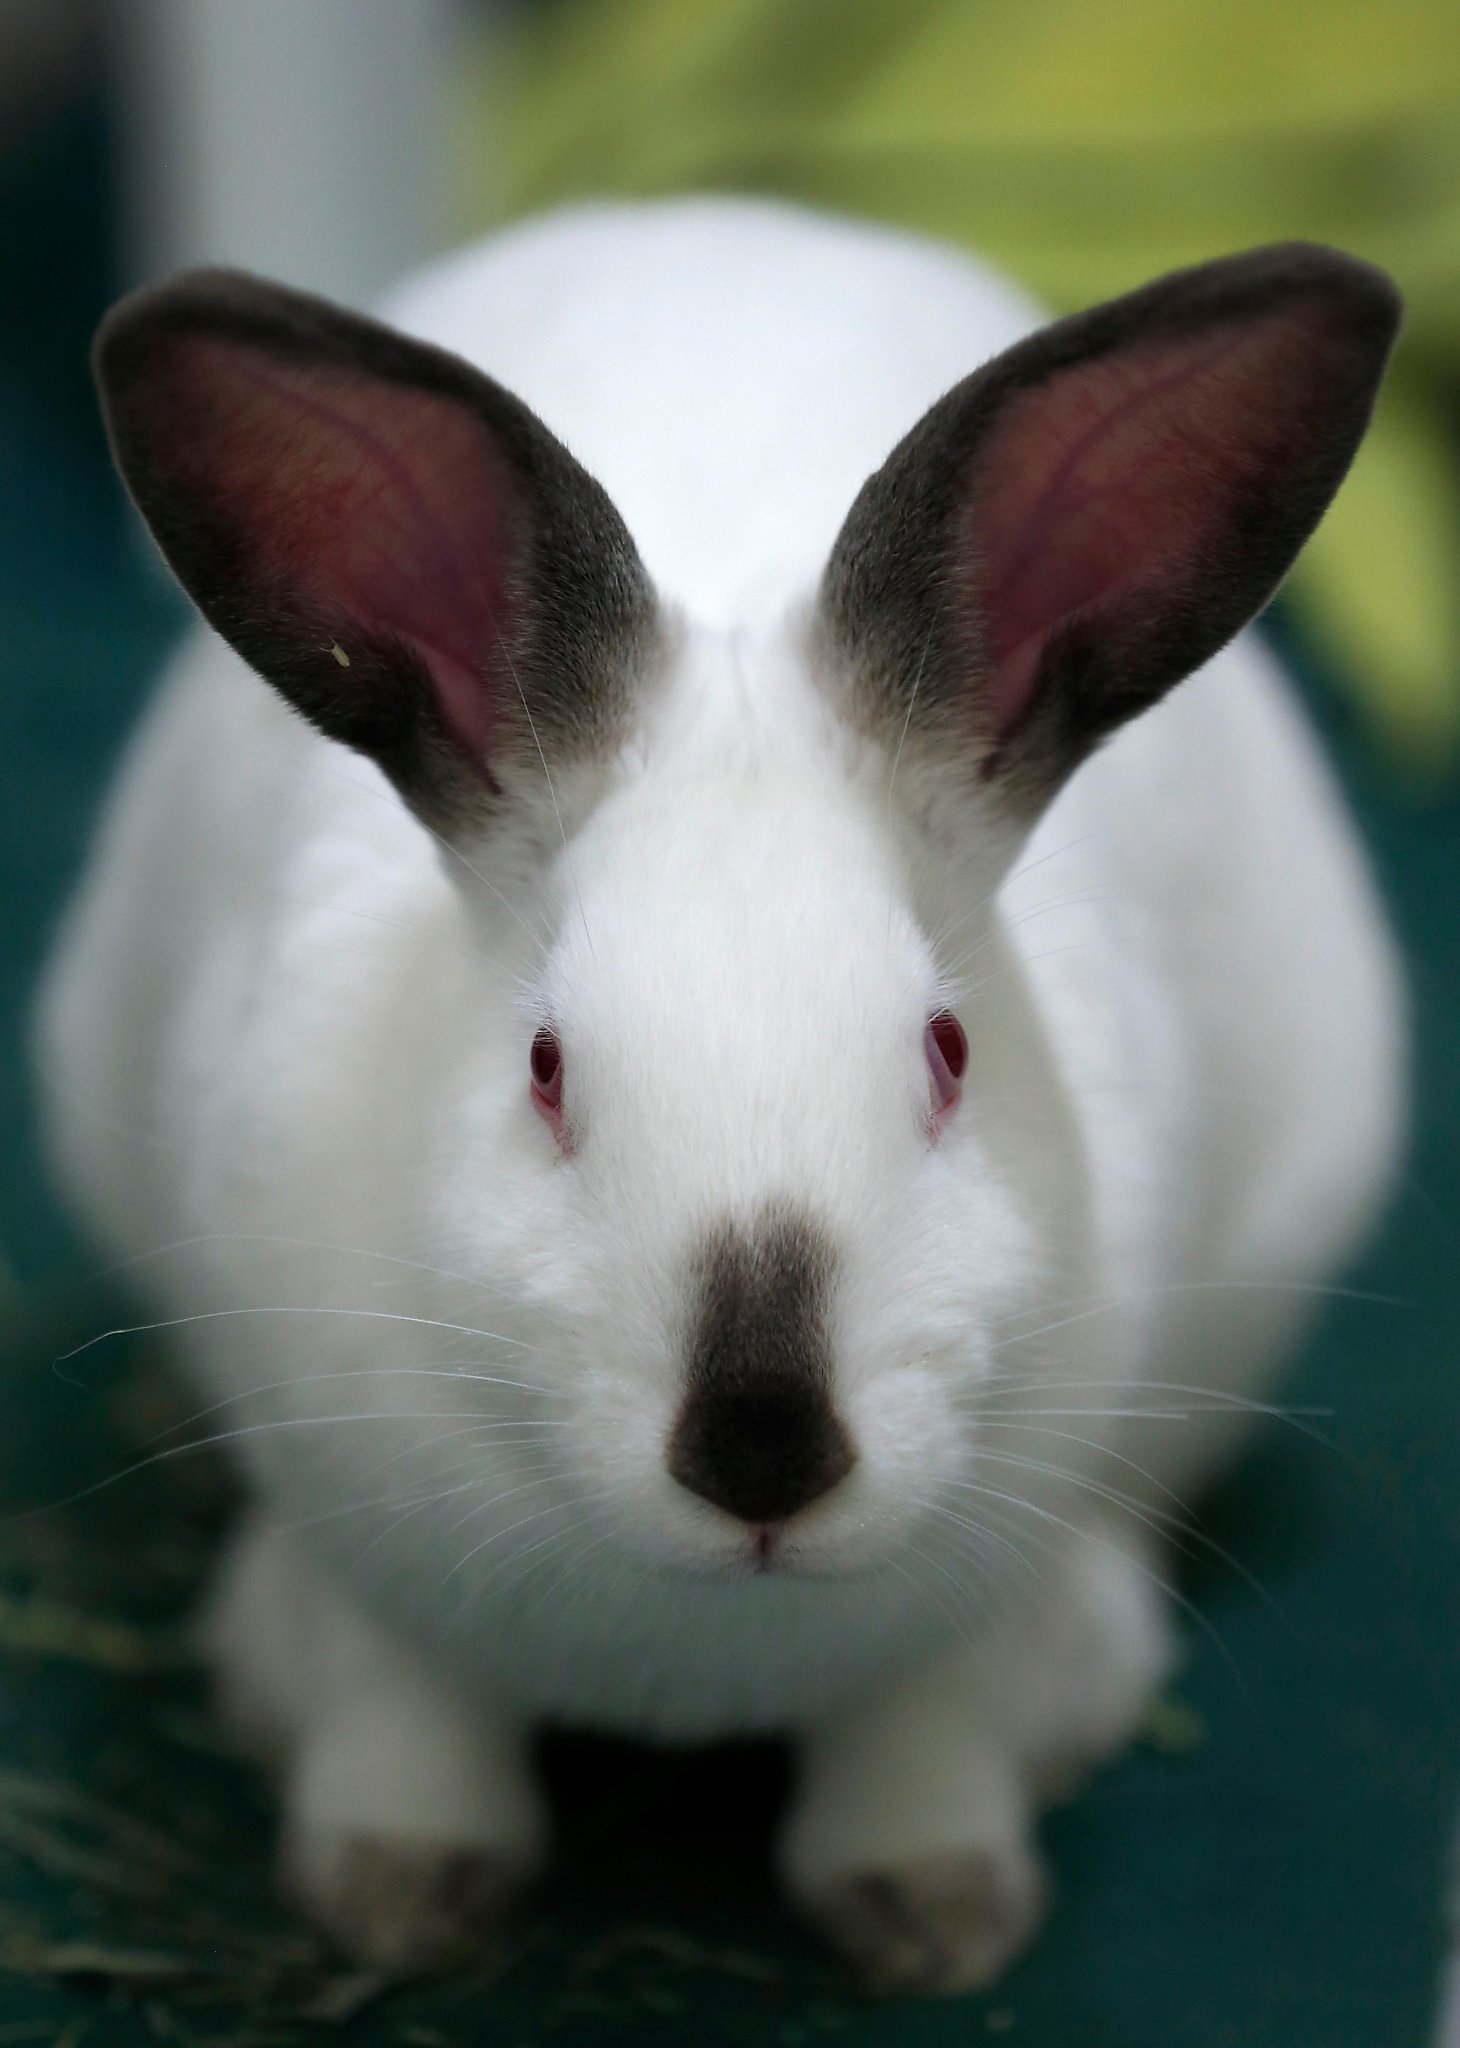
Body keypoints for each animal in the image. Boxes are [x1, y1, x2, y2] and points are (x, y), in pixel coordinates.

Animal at [35, 196, 1405, 1992]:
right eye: (546, 1065)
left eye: (948, 1051)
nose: (763, 1447)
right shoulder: (377, 1569)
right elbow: (407, 1715)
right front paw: (397, 1891)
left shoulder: (956, 1625)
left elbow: (922, 1736)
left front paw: (932, 1915)